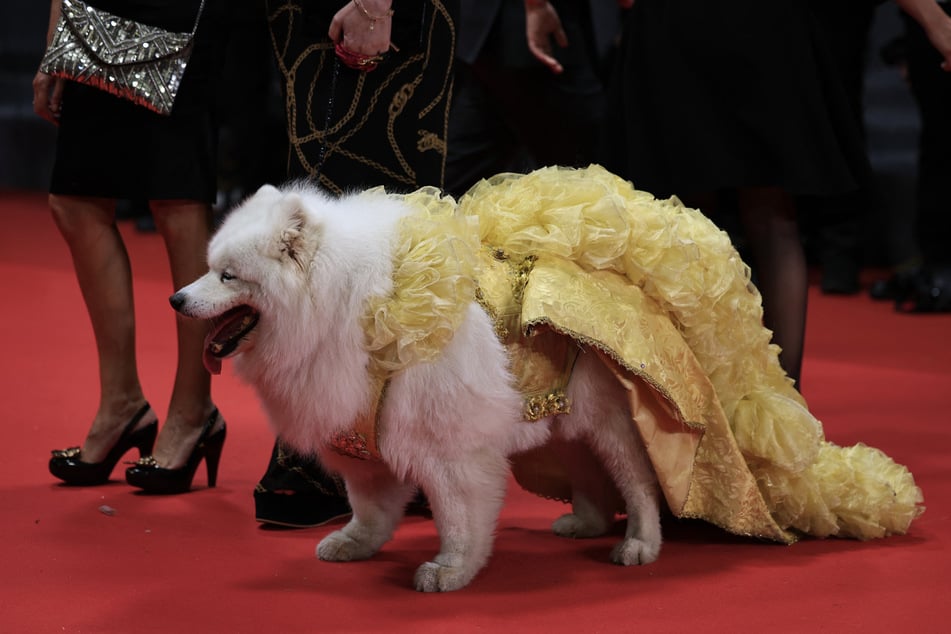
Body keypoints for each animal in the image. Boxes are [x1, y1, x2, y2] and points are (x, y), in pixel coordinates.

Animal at [173, 180, 660, 592]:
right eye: (210, 269)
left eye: (228, 276)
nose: (175, 299)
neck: (350, 307)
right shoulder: (363, 428)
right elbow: (369, 504)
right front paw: (355, 543)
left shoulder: (450, 442)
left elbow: (459, 516)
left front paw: (451, 570)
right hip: (559, 414)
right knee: (587, 467)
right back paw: (588, 523)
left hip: (610, 419)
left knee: (638, 481)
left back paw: (640, 543)